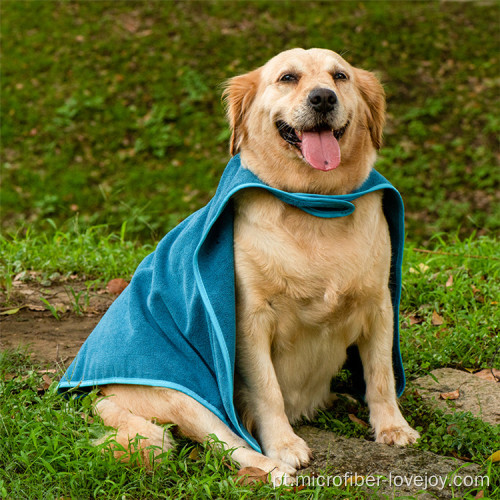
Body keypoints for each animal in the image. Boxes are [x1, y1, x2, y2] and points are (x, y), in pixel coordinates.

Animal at [94, 48, 418, 482]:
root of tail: (100, 392)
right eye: (287, 77)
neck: (315, 204)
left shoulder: (379, 305)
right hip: (184, 396)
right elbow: (268, 391)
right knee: (228, 443)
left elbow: (381, 375)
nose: (323, 98)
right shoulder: (250, 319)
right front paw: (284, 446)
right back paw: (273, 468)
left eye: (340, 76)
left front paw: (392, 427)